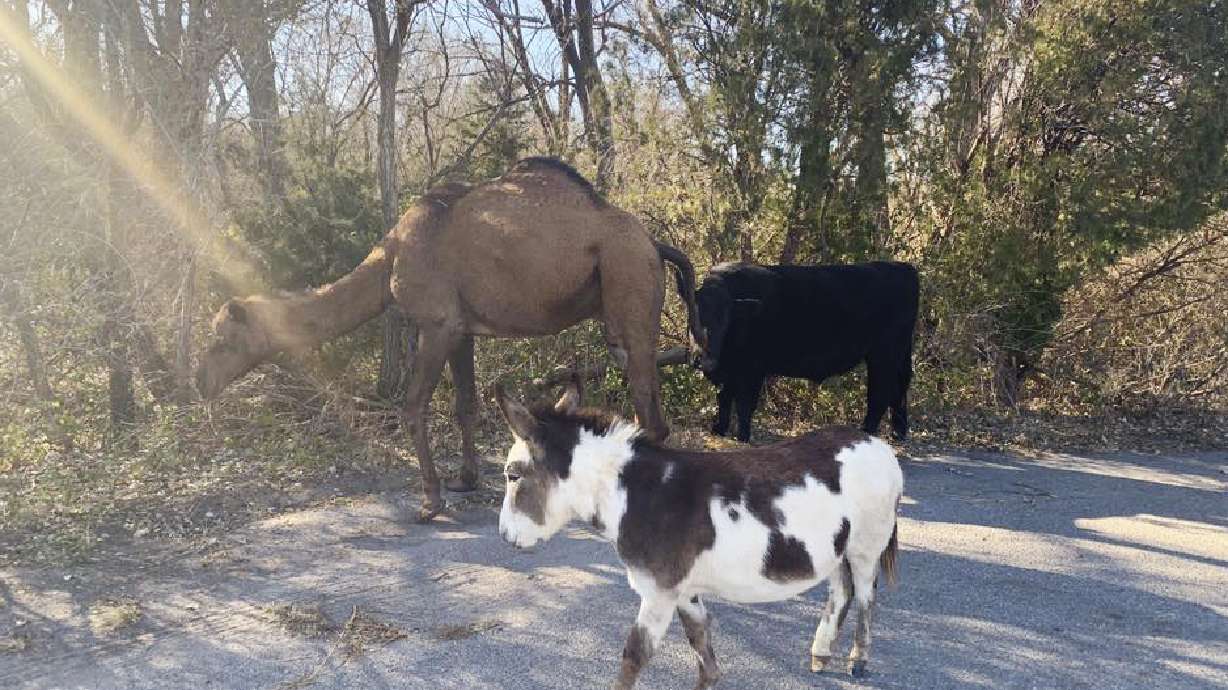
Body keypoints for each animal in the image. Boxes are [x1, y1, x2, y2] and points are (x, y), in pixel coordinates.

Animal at [195, 157, 704, 521]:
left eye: (222, 339)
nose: (198, 382)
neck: (391, 256)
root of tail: (654, 244)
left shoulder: (436, 324)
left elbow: (413, 405)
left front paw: (430, 501)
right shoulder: (462, 330)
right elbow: (466, 404)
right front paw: (465, 480)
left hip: (627, 285)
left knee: (648, 411)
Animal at [693, 261, 919, 443]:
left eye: (725, 318)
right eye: (696, 315)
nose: (703, 358)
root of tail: (903, 267)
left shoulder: (752, 369)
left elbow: (744, 404)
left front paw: (742, 437)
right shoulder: (729, 371)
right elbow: (723, 398)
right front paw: (718, 430)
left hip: (884, 354)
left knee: (881, 391)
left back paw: (867, 431)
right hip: (897, 353)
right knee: (899, 388)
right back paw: (897, 433)